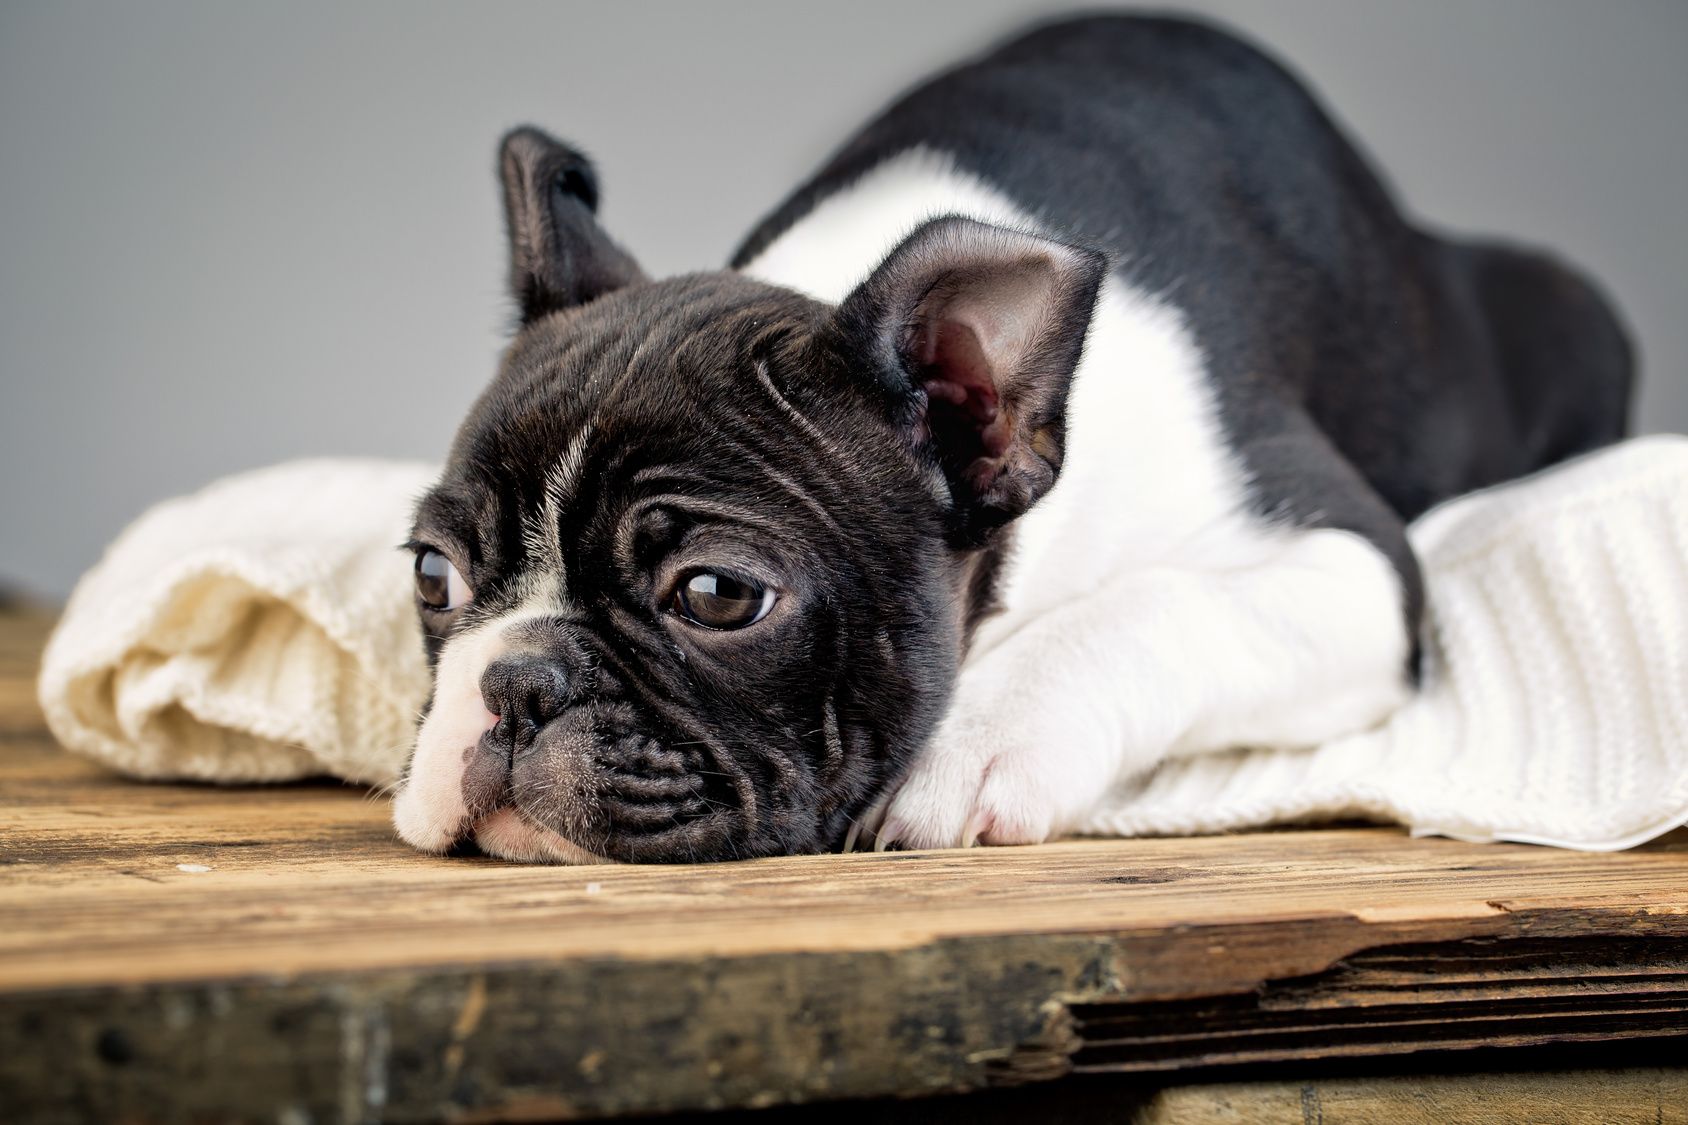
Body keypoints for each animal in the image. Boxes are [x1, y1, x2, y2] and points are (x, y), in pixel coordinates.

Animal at [388, 15, 1627, 858]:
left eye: (717, 596)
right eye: (432, 575)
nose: (515, 683)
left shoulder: (1351, 558)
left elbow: (1149, 604)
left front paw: (976, 738)